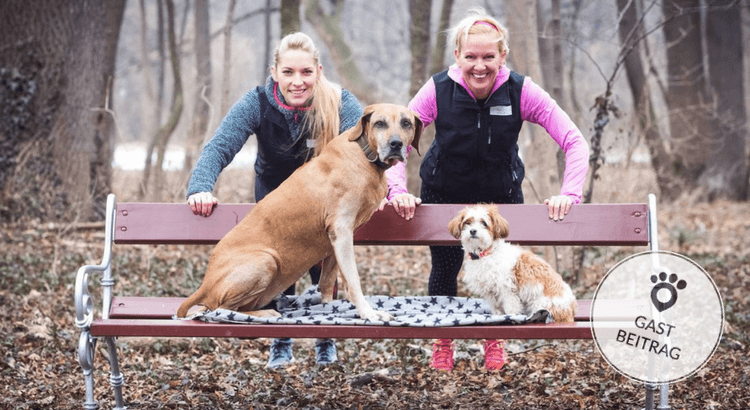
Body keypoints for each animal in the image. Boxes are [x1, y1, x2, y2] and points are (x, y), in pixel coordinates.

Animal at [177, 104, 424, 322]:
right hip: (266, 260)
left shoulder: (335, 240)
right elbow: (353, 280)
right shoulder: (342, 231)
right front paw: (368, 313)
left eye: (406, 123)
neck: (365, 156)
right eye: (380, 123)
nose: (396, 144)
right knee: (217, 309)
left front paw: (330, 308)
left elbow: (327, 283)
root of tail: (205, 284)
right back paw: (264, 314)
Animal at [450, 205, 580, 324]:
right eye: (467, 222)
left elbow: (511, 308)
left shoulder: (507, 289)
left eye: (484, 223)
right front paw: (497, 317)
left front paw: (511, 318)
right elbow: (496, 308)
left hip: (540, 304)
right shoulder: (490, 291)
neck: (486, 253)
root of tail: (571, 310)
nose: (472, 231)